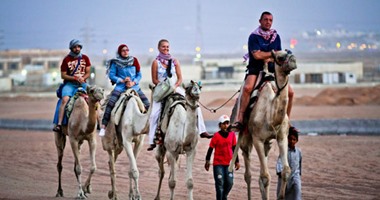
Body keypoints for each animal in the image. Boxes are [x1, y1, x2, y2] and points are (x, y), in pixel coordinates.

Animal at [230, 49, 298, 199]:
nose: (293, 60)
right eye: (280, 57)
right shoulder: (258, 139)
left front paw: (281, 196)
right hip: (246, 139)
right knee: (248, 175)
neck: (271, 115)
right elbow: (265, 177)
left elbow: (286, 170)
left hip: (268, 143)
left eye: (289, 51)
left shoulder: (282, 137)